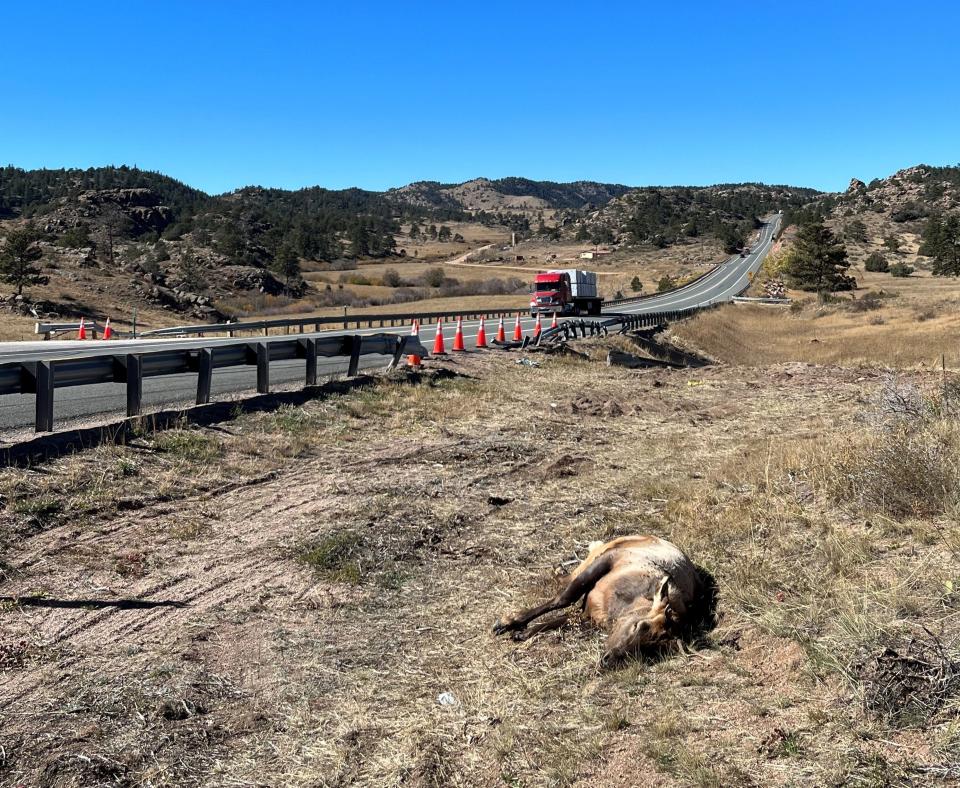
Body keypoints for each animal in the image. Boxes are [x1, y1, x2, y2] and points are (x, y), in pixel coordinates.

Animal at [492, 536, 700, 664]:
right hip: (602, 552)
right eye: (639, 625)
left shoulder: (588, 615)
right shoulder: (610, 558)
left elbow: (563, 619)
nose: (608, 659)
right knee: (568, 577)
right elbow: (563, 598)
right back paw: (558, 569)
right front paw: (508, 622)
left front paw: (523, 633)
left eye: (651, 649)